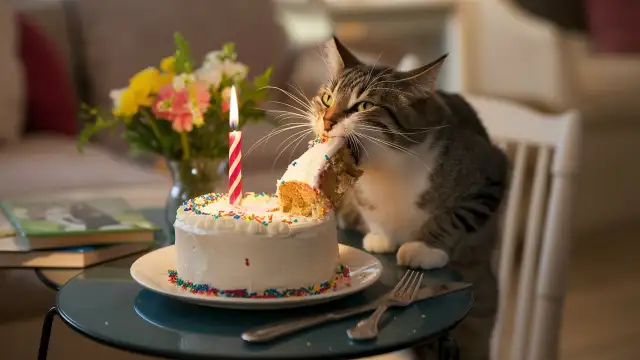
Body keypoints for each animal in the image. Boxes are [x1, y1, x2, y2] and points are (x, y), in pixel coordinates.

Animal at [312, 38, 510, 360]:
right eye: (327, 99)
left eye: (364, 105)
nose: (327, 122)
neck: (388, 170)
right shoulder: (360, 194)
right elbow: (369, 210)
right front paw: (380, 236)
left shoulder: (490, 168)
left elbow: (456, 216)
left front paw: (424, 248)